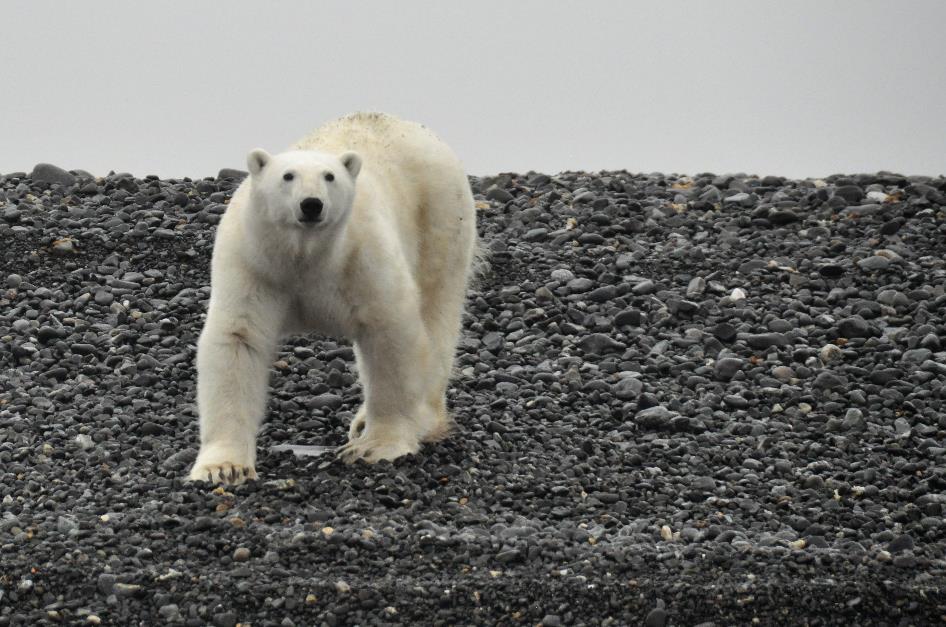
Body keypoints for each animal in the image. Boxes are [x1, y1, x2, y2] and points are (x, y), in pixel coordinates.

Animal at [187, 113, 476, 486]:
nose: (311, 204)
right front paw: (223, 467)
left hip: (438, 215)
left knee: (437, 311)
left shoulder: (362, 258)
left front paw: (375, 446)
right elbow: (238, 339)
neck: (305, 257)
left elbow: (391, 332)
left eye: (330, 176)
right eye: (287, 176)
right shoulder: (253, 265)